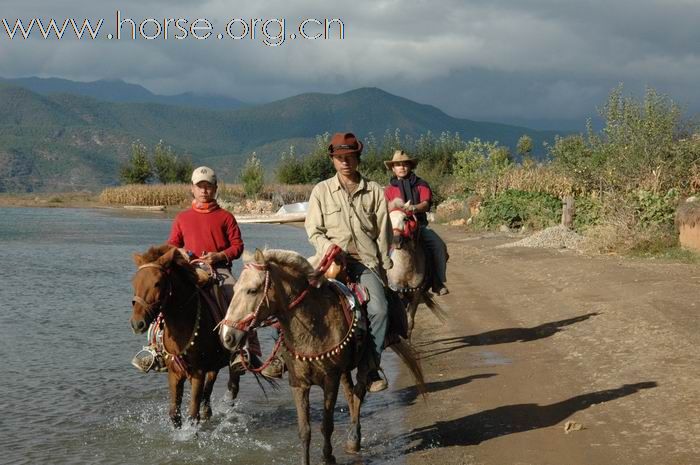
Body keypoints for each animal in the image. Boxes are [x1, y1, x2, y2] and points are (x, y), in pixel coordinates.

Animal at [130, 245, 242, 426]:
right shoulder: (175, 373)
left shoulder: (198, 372)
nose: (137, 323)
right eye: (135, 282)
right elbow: (175, 414)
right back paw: (207, 412)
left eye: (157, 283)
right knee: (209, 388)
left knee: (232, 387)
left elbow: (192, 414)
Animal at [220, 248, 426, 464]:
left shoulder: (330, 380)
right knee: (351, 395)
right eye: (235, 289)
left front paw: (328, 457)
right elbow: (304, 431)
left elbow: (326, 426)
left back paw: (354, 439)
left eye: (252, 290)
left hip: (360, 368)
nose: (227, 336)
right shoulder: (298, 383)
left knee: (358, 393)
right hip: (344, 372)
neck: (315, 325)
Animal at [386, 198, 446, 338]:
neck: (405, 268)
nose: (396, 240)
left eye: (405, 219)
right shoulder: (397, 292)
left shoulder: (417, 293)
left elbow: (410, 322)